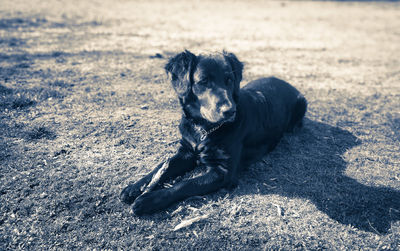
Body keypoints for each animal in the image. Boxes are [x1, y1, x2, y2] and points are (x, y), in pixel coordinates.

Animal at [120, 50, 308, 215]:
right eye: (203, 81)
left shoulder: (222, 172)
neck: (203, 129)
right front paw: (135, 187)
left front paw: (149, 200)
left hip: (302, 103)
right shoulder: (186, 151)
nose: (230, 111)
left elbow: (185, 184)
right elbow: (160, 168)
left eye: (229, 79)